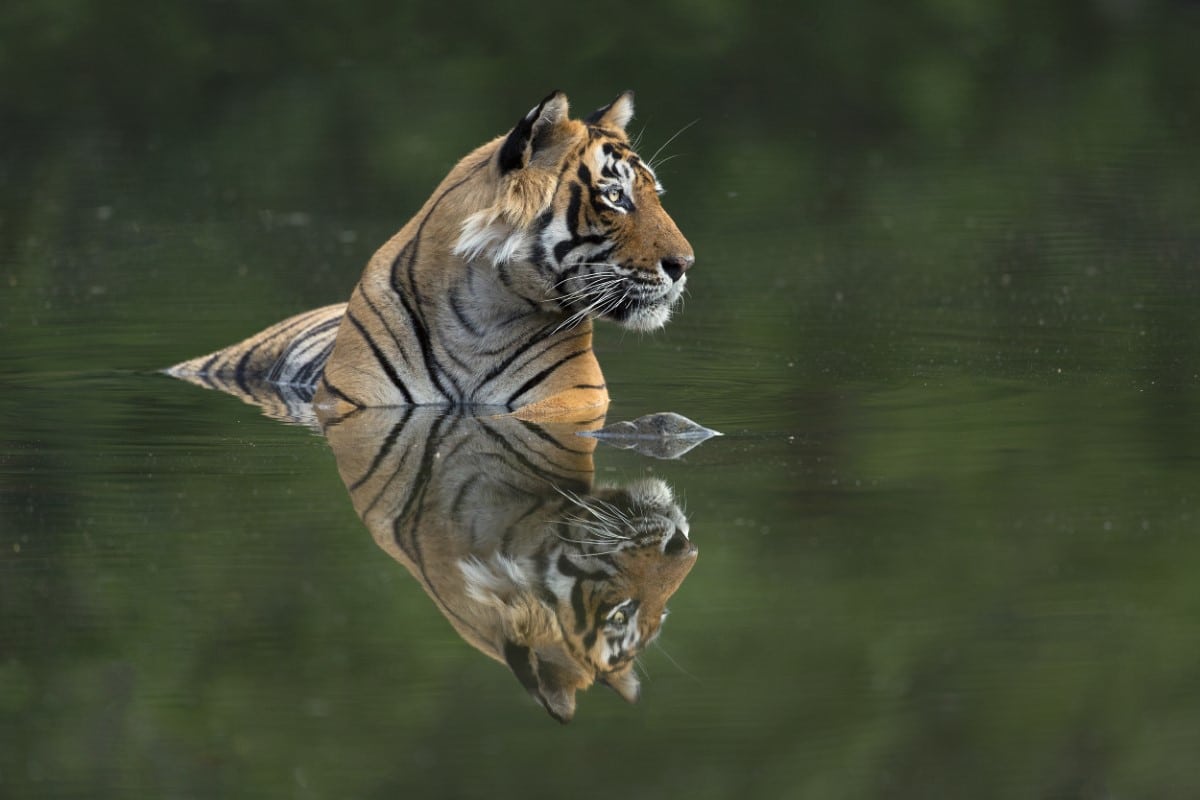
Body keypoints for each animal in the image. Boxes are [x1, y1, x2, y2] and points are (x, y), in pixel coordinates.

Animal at [169, 89, 696, 422]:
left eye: (653, 194)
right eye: (616, 197)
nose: (685, 264)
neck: (484, 316)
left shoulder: (573, 399)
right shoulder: (356, 401)